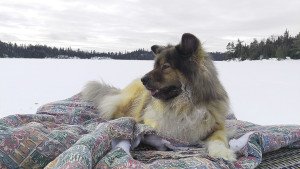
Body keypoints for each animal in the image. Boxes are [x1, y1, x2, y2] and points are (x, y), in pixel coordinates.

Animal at [81, 33, 236, 161]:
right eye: (155, 65)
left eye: (165, 66)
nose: (143, 80)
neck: (183, 105)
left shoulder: (216, 127)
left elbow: (218, 139)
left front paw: (222, 152)